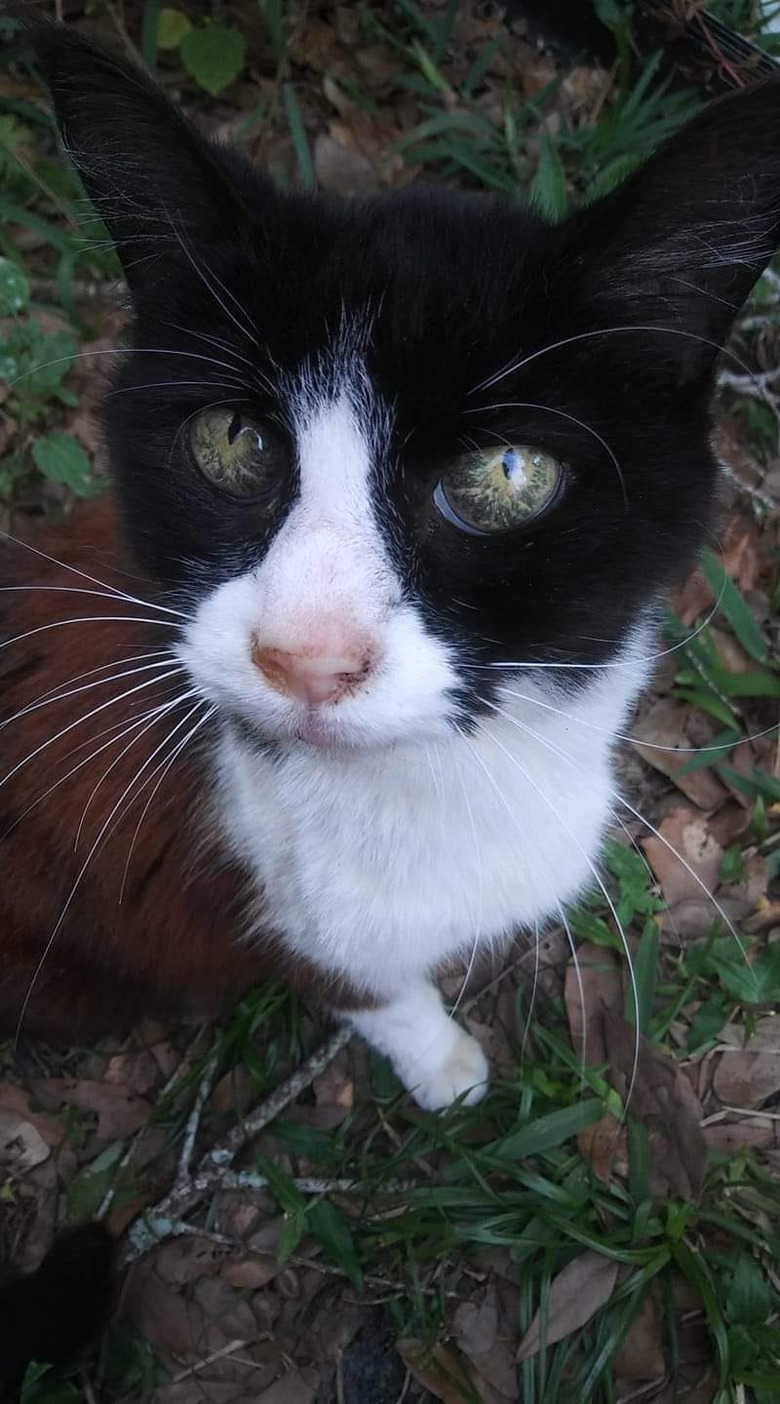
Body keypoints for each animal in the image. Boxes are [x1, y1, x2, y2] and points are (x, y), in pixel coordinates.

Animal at [4, 24, 780, 1117]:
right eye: (232, 440)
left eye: (505, 474)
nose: (305, 657)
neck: (441, 780)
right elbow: (367, 988)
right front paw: (444, 1066)